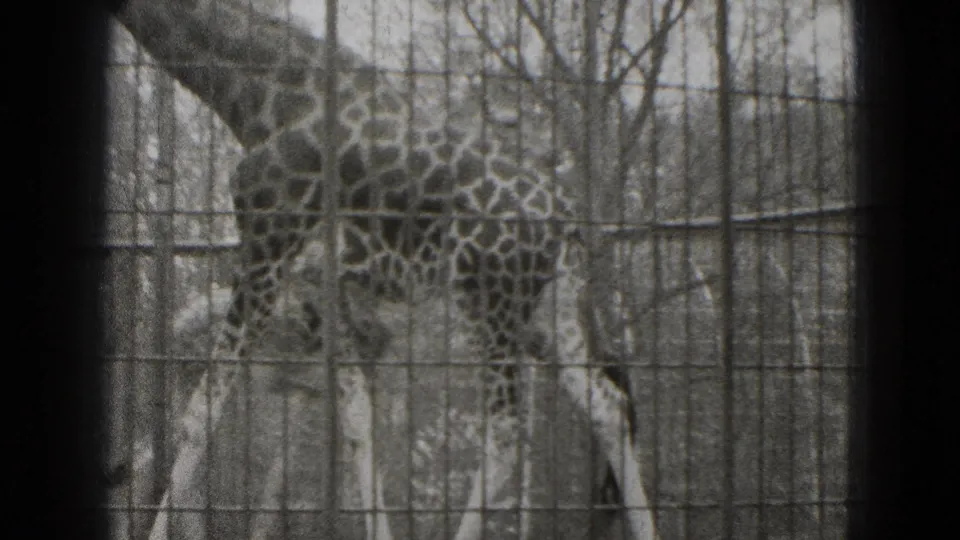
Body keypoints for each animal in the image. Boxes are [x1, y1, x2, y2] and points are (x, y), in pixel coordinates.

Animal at [112, 1, 659, 539]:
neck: (262, 92)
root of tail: (565, 220)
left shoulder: (268, 245)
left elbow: (200, 412)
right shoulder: (322, 281)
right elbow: (357, 418)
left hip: (488, 299)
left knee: (506, 431)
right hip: (547, 312)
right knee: (608, 406)